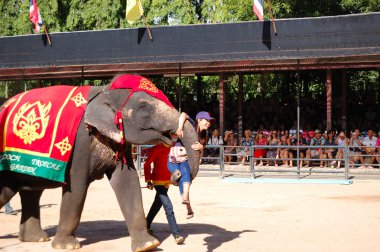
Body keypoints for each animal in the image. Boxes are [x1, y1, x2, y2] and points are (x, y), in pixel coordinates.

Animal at [0, 74, 200, 251]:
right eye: (144, 107)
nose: (177, 174)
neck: (104, 91)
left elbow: (128, 181)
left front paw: (147, 245)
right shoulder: (79, 144)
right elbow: (76, 188)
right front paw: (67, 246)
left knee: (31, 192)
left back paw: (36, 239)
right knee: (8, 192)